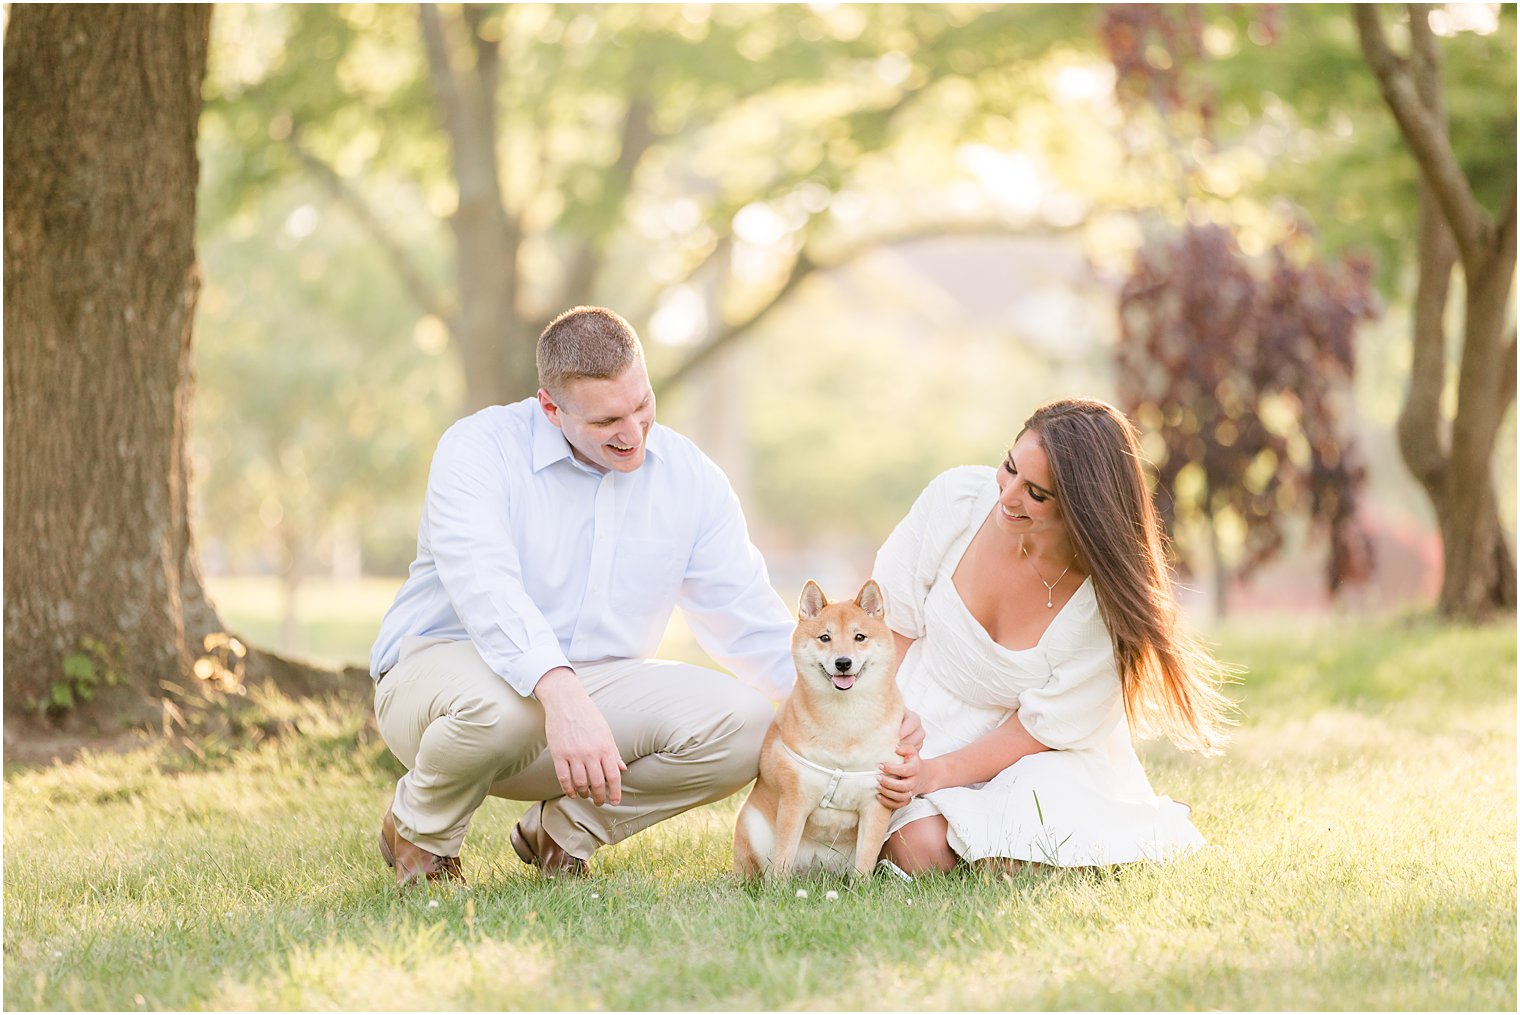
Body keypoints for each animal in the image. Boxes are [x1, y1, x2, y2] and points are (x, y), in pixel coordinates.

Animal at [732, 577, 899, 881]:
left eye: (859, 637)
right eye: (825, 638)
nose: (843, 662)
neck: (846, 724)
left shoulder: (876, 802)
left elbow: (865, 860)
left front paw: (861, 889)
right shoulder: (794, 800)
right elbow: (783, 856)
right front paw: (779, 889)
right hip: (753, 827)